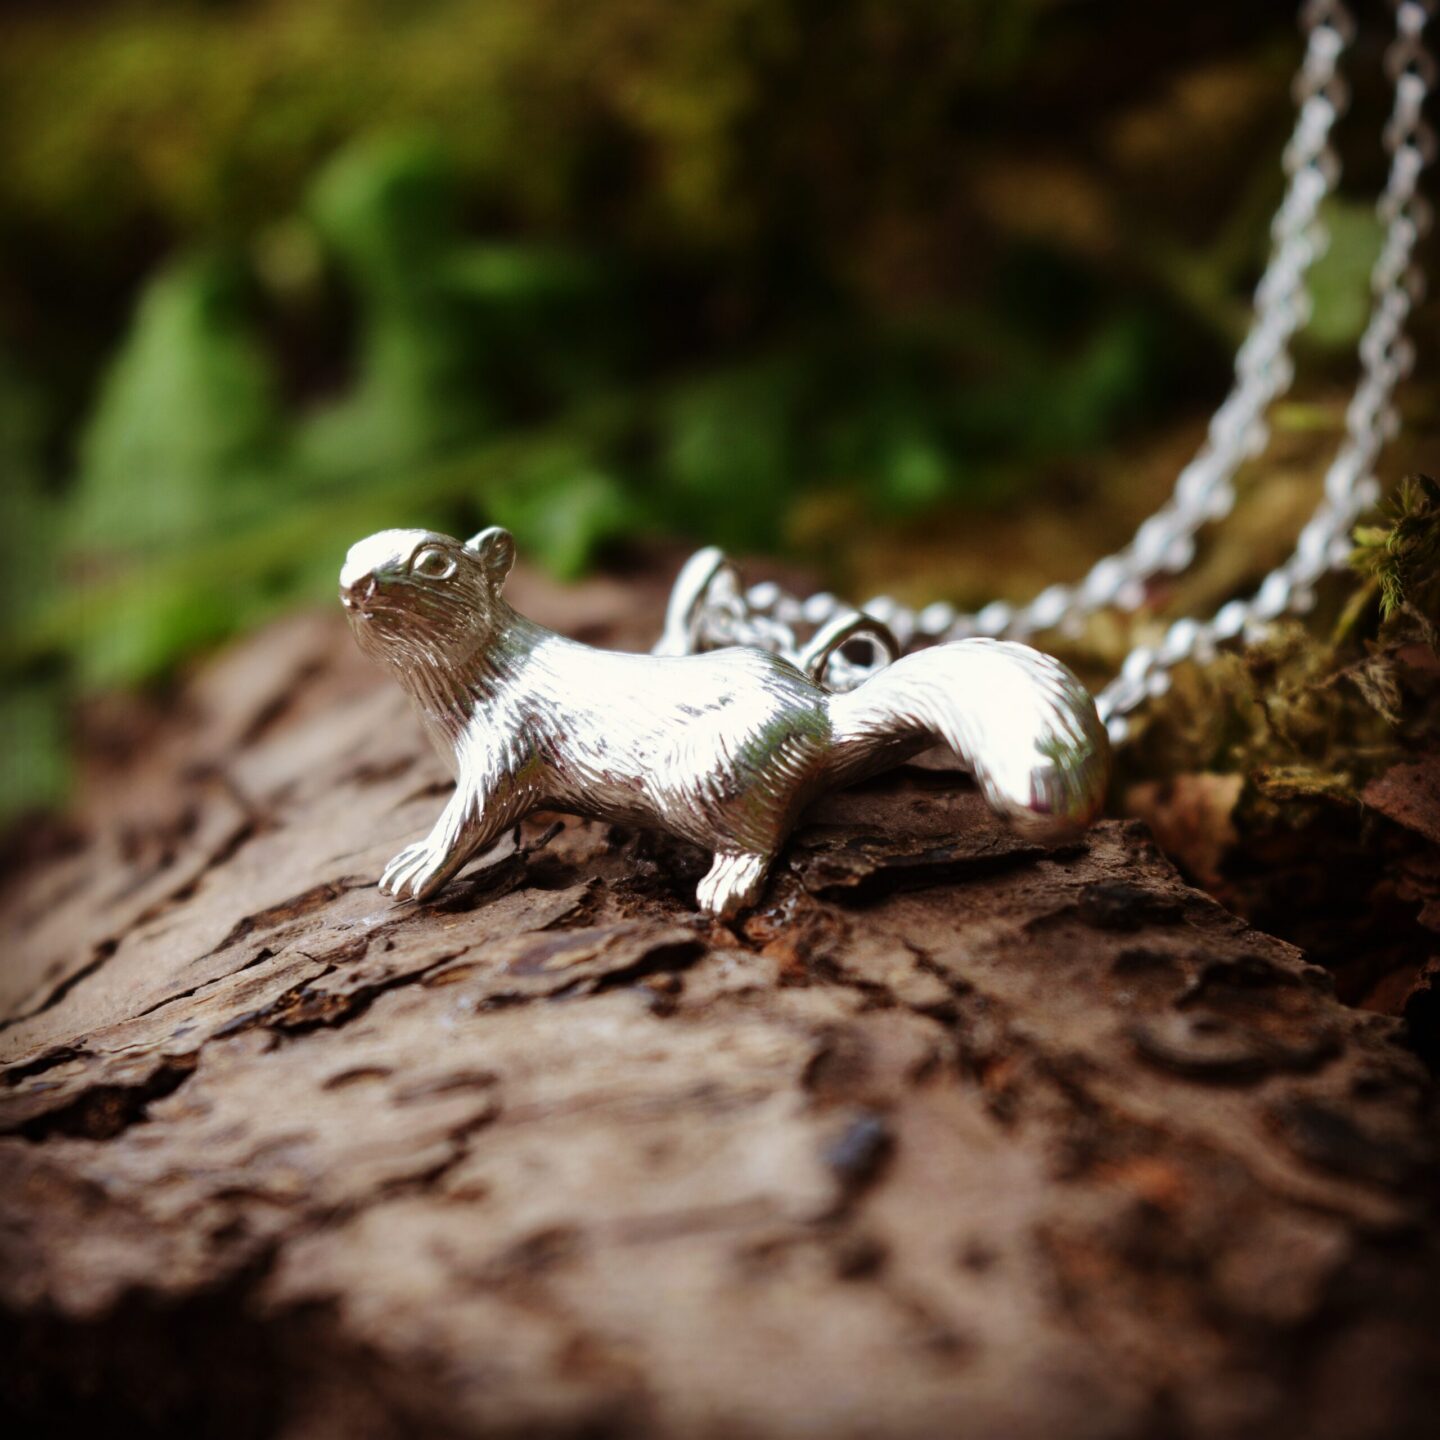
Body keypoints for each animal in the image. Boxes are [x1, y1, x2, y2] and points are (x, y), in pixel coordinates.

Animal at [340, 526, 1110, 917]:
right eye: (349, 553)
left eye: (434, 561)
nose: (355, 586)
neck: (453, 699)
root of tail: (820, 715)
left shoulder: (505, 746)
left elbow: (467, 819)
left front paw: (416, 866)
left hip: (698, 777)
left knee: (760, 838)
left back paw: (725, 886)